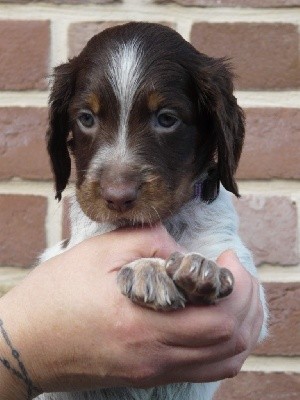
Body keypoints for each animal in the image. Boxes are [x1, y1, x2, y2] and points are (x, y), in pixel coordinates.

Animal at [36, 22, 268, 400]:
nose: (117, 197)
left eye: (167, 119)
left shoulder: (245, 283)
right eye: (85, 118)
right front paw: (148, 268)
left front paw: (200, 266)